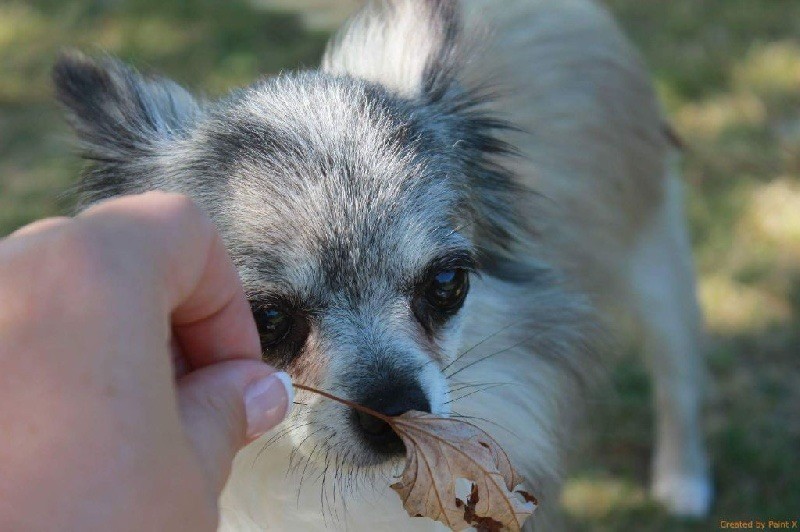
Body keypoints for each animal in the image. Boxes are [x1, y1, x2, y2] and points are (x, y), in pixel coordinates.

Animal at [53, 0, 708, 528]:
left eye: (446, 283)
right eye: (265, 319)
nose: (395, 408)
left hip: (654, 256)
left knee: (677, 372)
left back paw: (684, 481)